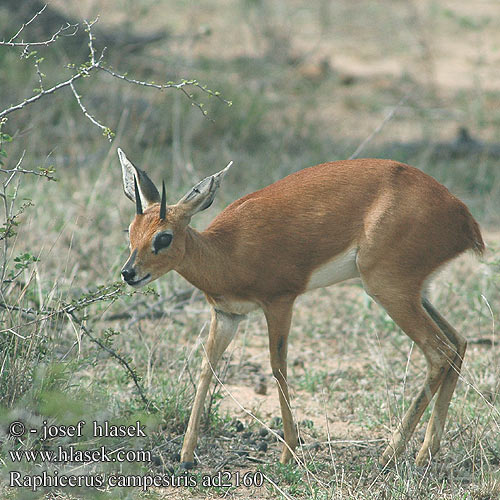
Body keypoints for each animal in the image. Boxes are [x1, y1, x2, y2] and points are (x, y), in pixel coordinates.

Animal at [117, 149, 484, 468]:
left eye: (163, 237)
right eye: (131, 232)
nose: (129, 273)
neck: (226, 254)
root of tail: (465, 219)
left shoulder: (280, 302)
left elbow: (278, 368)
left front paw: (288, 452)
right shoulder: (227, 314)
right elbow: (208, 368)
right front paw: (186, 455)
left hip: (389, 289)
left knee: (439, 352)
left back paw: (389, 455)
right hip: (413, 292)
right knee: (459, 342)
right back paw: (426, 453)